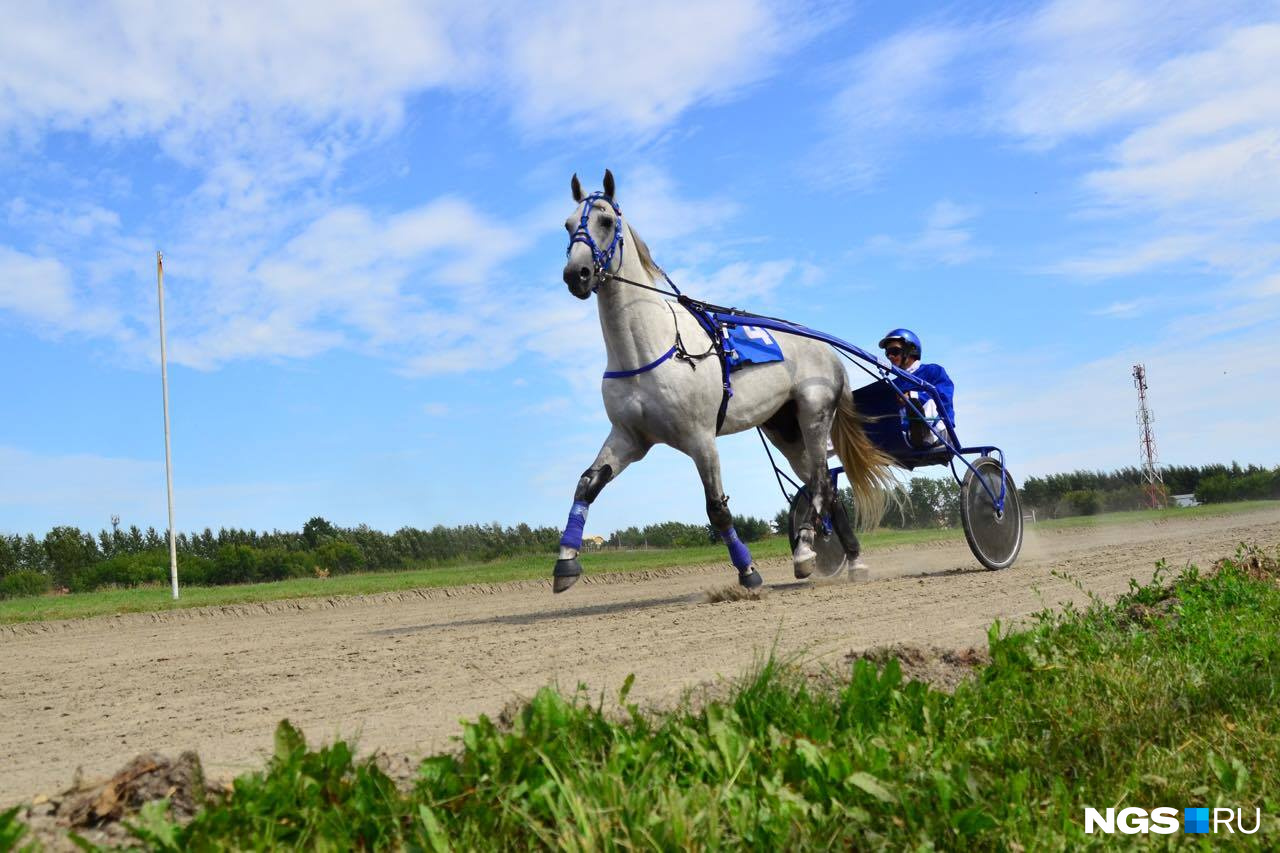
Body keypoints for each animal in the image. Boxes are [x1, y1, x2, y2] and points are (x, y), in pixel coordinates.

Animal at [555, 169, 896, 589]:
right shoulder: (629, 437)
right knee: (828, 487)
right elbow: (587, 484)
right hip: (784, 427)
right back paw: (851, 560)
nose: (576, 274)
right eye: (568, 224)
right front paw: (565, 563)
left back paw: (805, 550)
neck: (651, 345)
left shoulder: (700, 437)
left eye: (604, 220)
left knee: (819, 481)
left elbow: (717, 508)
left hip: (814, 412)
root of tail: (828, 351)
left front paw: (748, 571)